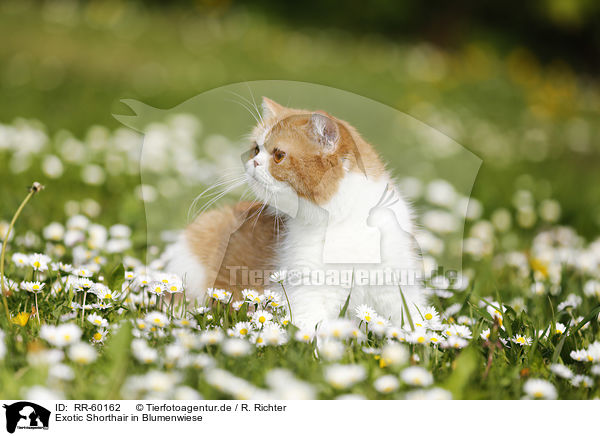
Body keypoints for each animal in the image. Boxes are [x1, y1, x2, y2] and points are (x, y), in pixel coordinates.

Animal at [165, 97, 426, 330]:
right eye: (256, 149)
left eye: (278, 155)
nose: (253, 163)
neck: (342, 222)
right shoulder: (306, 295)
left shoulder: (396, 290)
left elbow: (414, 325)